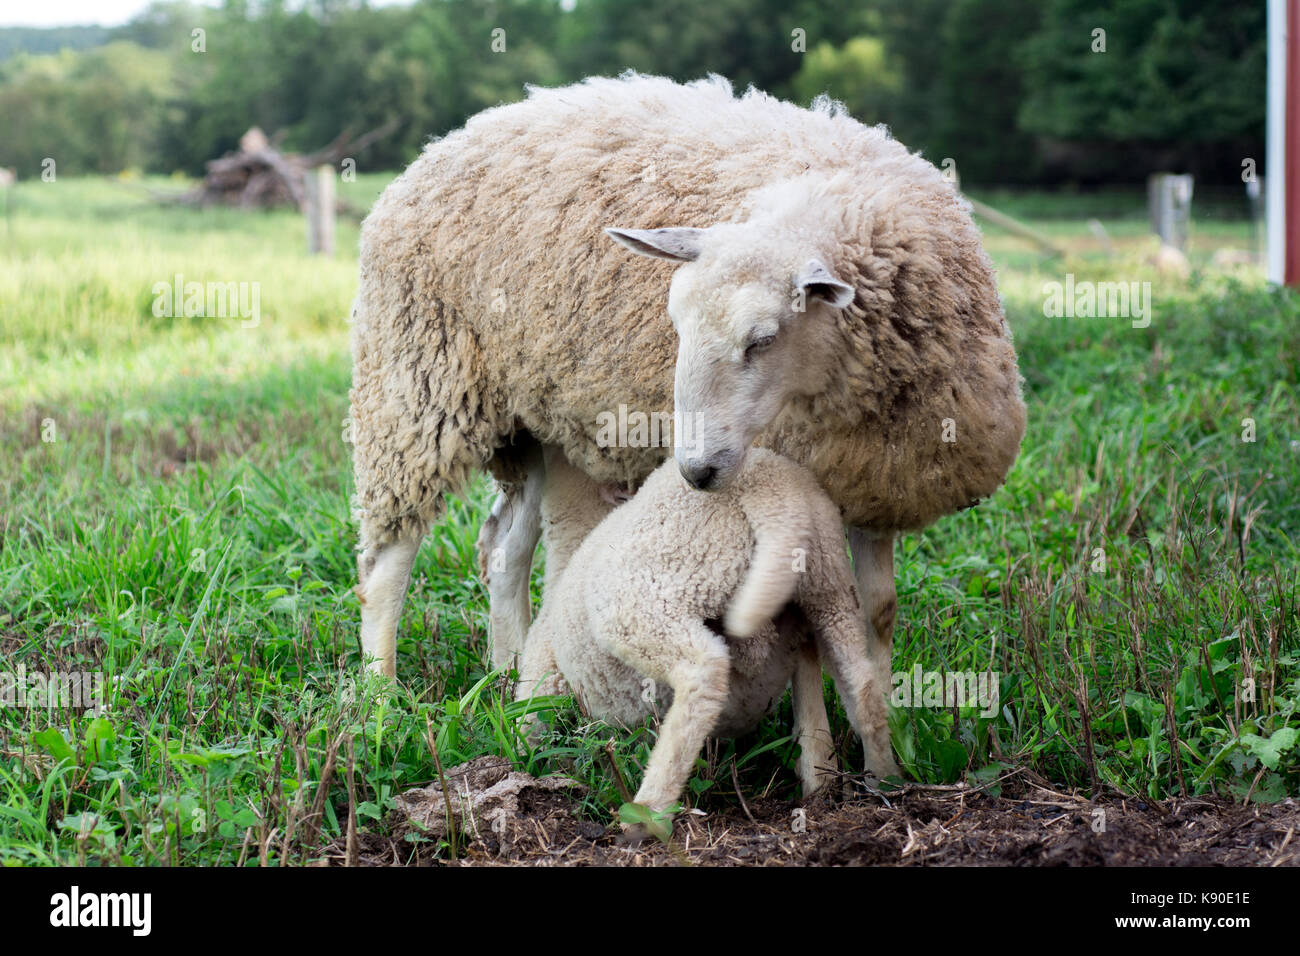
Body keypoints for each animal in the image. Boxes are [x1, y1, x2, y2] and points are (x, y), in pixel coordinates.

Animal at [353, 69, 1024, 681]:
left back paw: (510, 674)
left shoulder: (872, 476)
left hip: (531, 419)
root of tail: (448, 141)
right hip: (415, 385)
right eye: (673, 323)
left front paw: (879, 722)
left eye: (763, 338)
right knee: (386, 560)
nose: (695, 471)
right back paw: (381, 692)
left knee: (503, 548)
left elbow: (877, 613)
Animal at [512, 447, 899, 816]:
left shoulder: (544, 671)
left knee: (703, 671)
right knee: (861, 685)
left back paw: (649, 807)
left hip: (650, 596)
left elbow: (530, 719)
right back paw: (879, 779)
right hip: (831, 588)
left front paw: (528, 758)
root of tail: (771, 488)